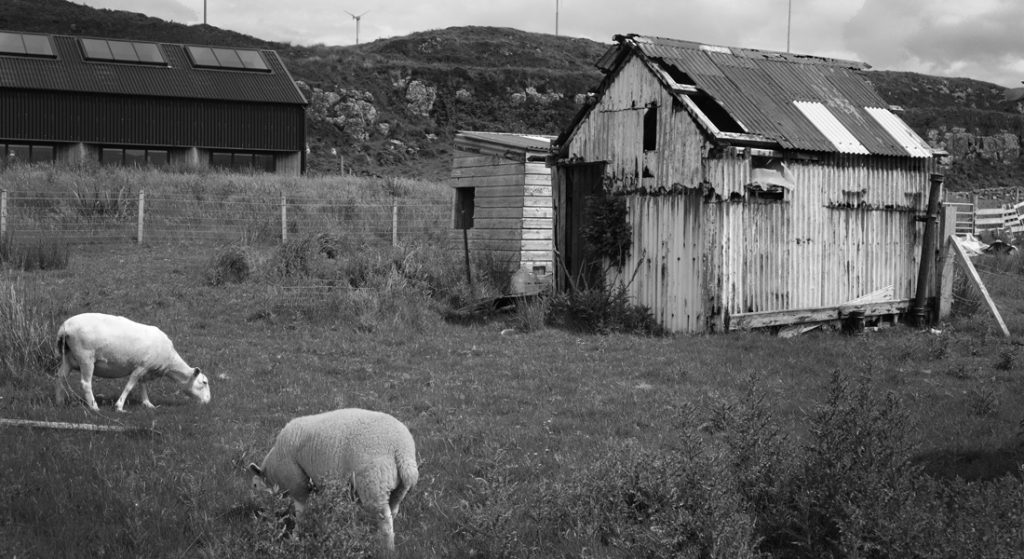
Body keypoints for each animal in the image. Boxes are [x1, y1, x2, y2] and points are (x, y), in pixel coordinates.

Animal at [54, 311, 211, 411]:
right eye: (204, 382)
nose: (208, 402)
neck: (169, 361)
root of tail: (64, 327)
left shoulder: (146, 368)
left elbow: (142, 385)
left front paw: (147, 404)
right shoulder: (141, 366)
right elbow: (130, 385)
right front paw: (119, 407)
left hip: (69, 357)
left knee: (61, 376)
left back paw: (60, 401)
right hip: (86, 357)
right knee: (86, 383)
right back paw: (94, 407)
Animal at [248, 405, 419, 548]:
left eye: (255, 486)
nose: (258, 510)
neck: (274, 472)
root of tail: (402, 451)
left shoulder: (297, 482)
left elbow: (301, 512)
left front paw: (295, 536)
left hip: (373, 482)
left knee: (385, 520)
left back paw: (386, 549)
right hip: (397, 488)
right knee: (392, 512)